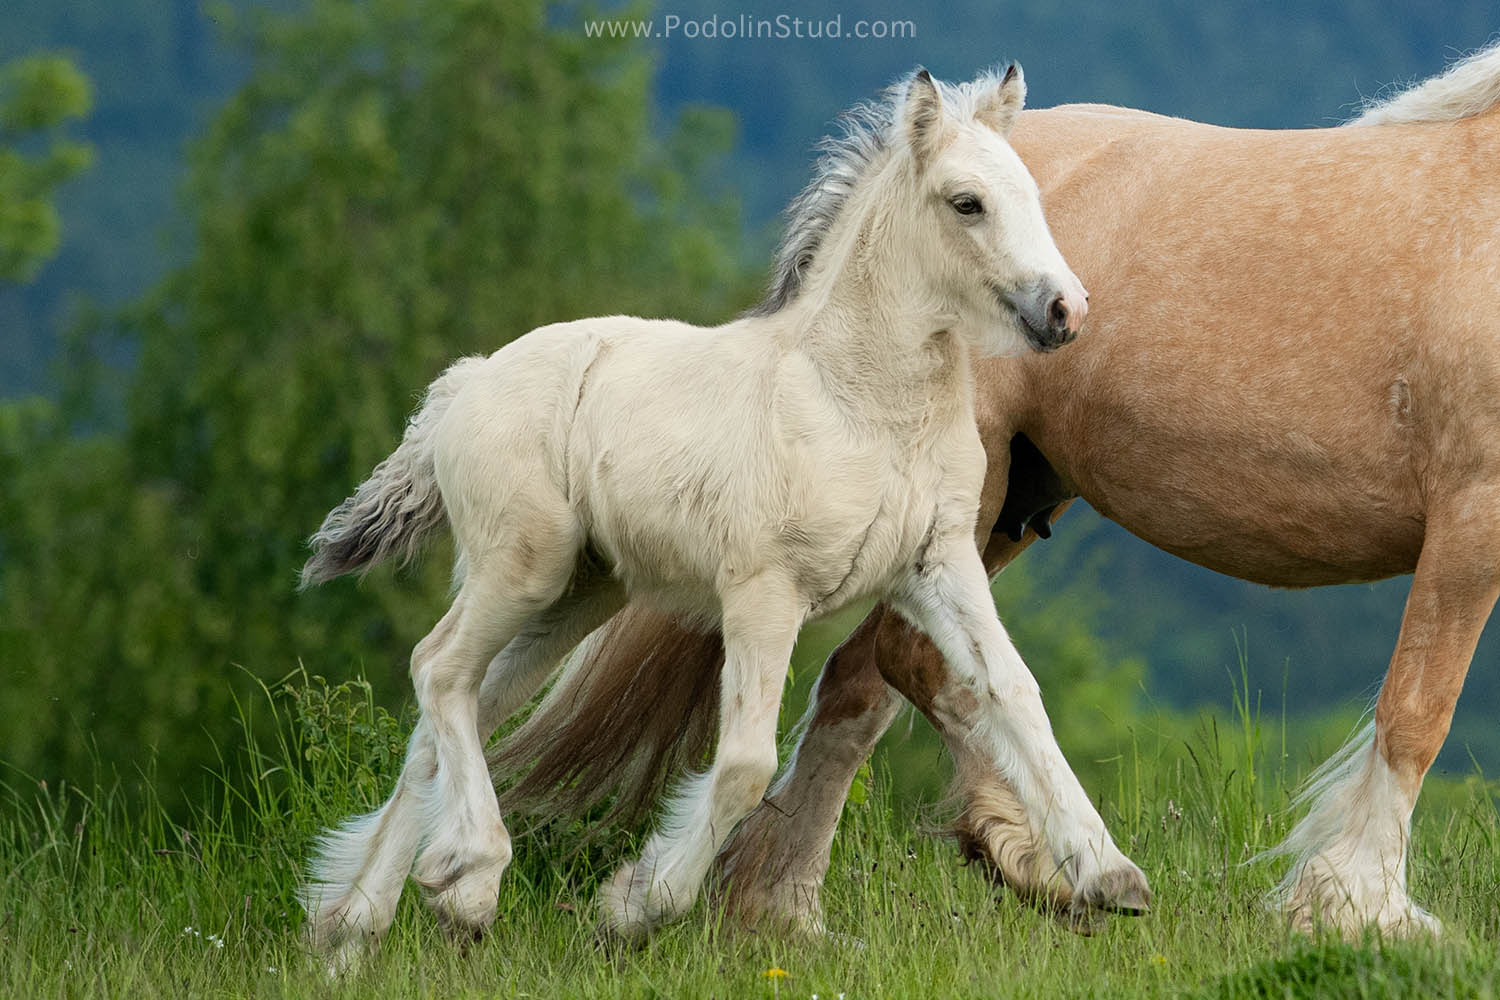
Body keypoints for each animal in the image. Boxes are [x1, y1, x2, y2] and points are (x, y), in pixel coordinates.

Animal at [298, 66, 1128, 965]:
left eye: (1033, 194)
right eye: (967, 202)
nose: (1067, 312)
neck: (855, 403)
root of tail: (464, 384)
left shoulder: (937, 567)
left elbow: (1014, 692)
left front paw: (1110, 875)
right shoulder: (765, 592)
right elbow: (742, 765)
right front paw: (636, 906)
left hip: (579, 591)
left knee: (460, 707)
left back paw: (356, 925)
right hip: (524, 565)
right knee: (439, 669)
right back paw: (469, 883)